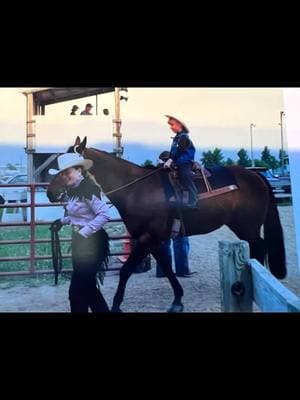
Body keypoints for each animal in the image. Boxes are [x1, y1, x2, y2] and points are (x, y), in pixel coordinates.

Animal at [46, 138, 286, 312]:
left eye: (68, 169)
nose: (50, 193)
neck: (135, 189)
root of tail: (256, 176)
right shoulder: (153, 240)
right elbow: (167, 268)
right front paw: (178, 300)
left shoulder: (146, 239)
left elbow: (125, 271)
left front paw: (115, 305)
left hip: (247, 227)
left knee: (259, 246)